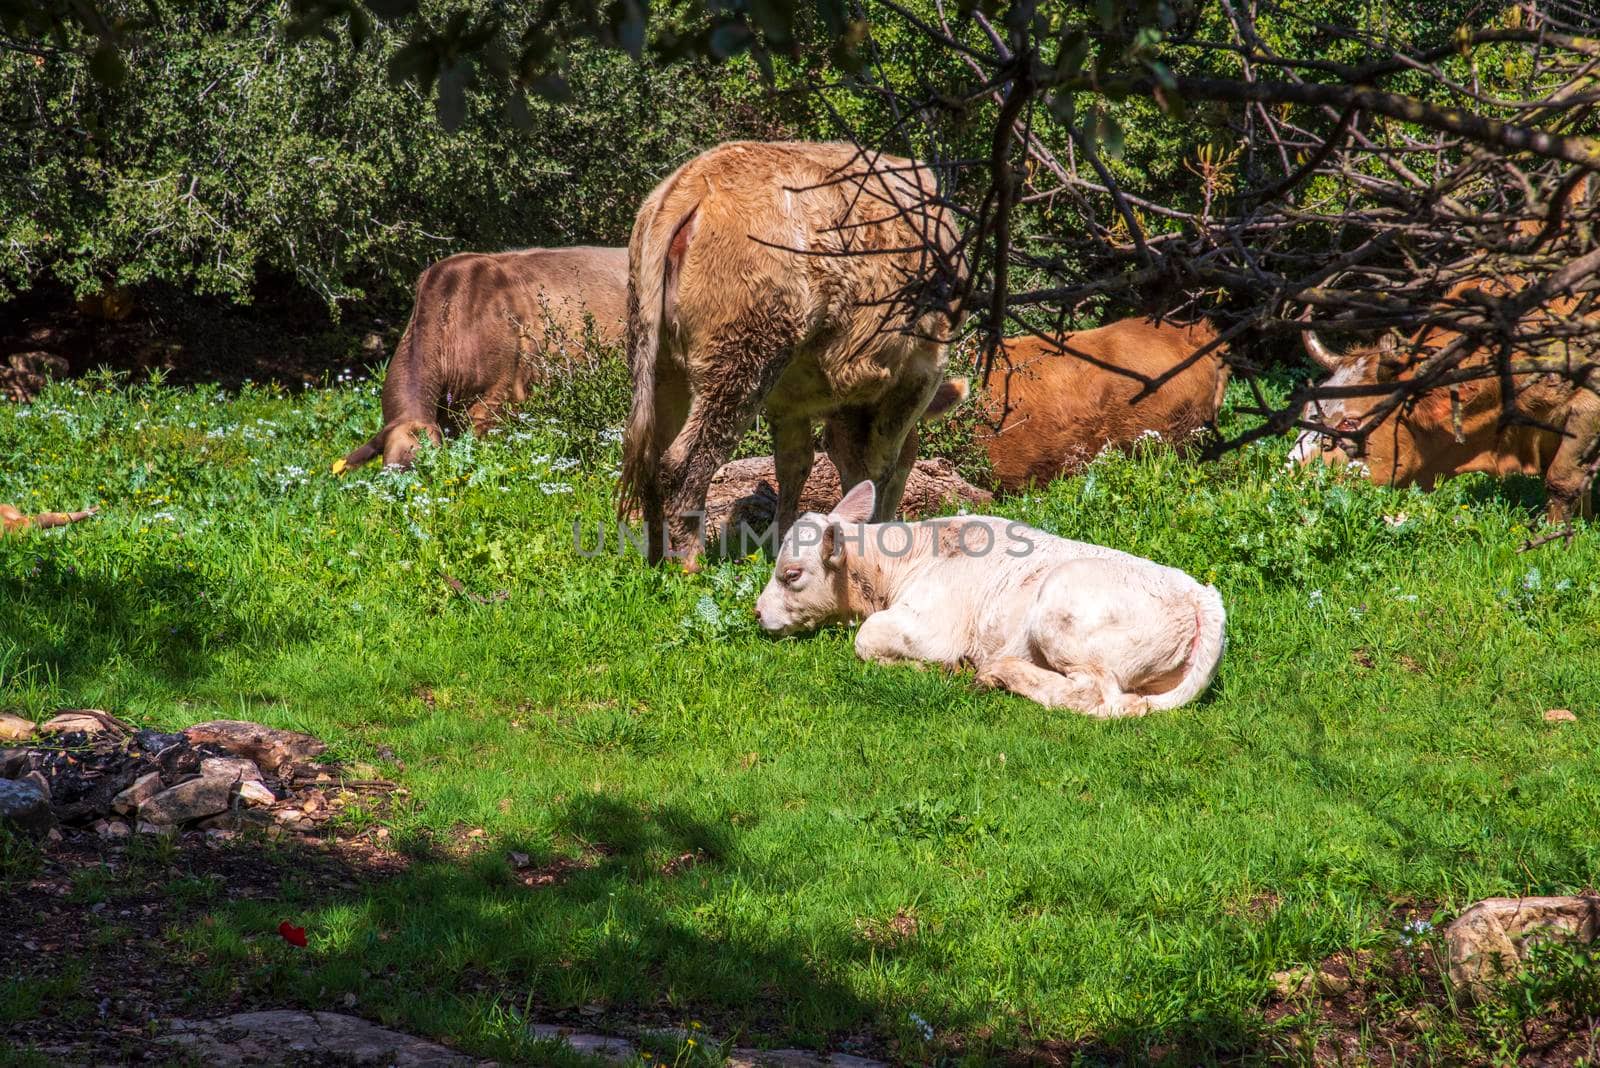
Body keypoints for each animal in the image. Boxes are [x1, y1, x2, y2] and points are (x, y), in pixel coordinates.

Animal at [617, 137, 953, 562]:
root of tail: (695, 179)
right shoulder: (918, 373)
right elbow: (880, 463)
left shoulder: (790, 399)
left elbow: (797, 464)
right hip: (743, 358)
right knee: (684, 461)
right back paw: (690, 562)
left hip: (658, 360)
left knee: (650, 453)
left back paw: (657, 557)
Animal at [755, 482, 1228, 716]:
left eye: (791, 574)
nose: (758, 613)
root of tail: (1201, 597)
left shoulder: (933, 627)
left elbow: (867, 639)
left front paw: (942, 667)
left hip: (1062, 614)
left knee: (1095, 697)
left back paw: (998, 673)